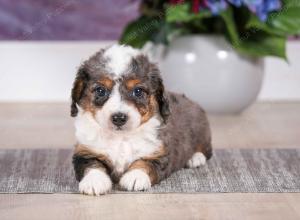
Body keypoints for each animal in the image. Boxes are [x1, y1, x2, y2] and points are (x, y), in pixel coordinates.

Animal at [70, 43, 212, 195]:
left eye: (138, 91)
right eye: (100, 90)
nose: (119, 118)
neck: (121, 138)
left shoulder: (159, 154)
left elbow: (144, 163)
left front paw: (135, 177)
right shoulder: (85, 151)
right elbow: (91, 165)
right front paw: (94, 181)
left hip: (203, 132)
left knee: (207, 150)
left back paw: (195, 158)